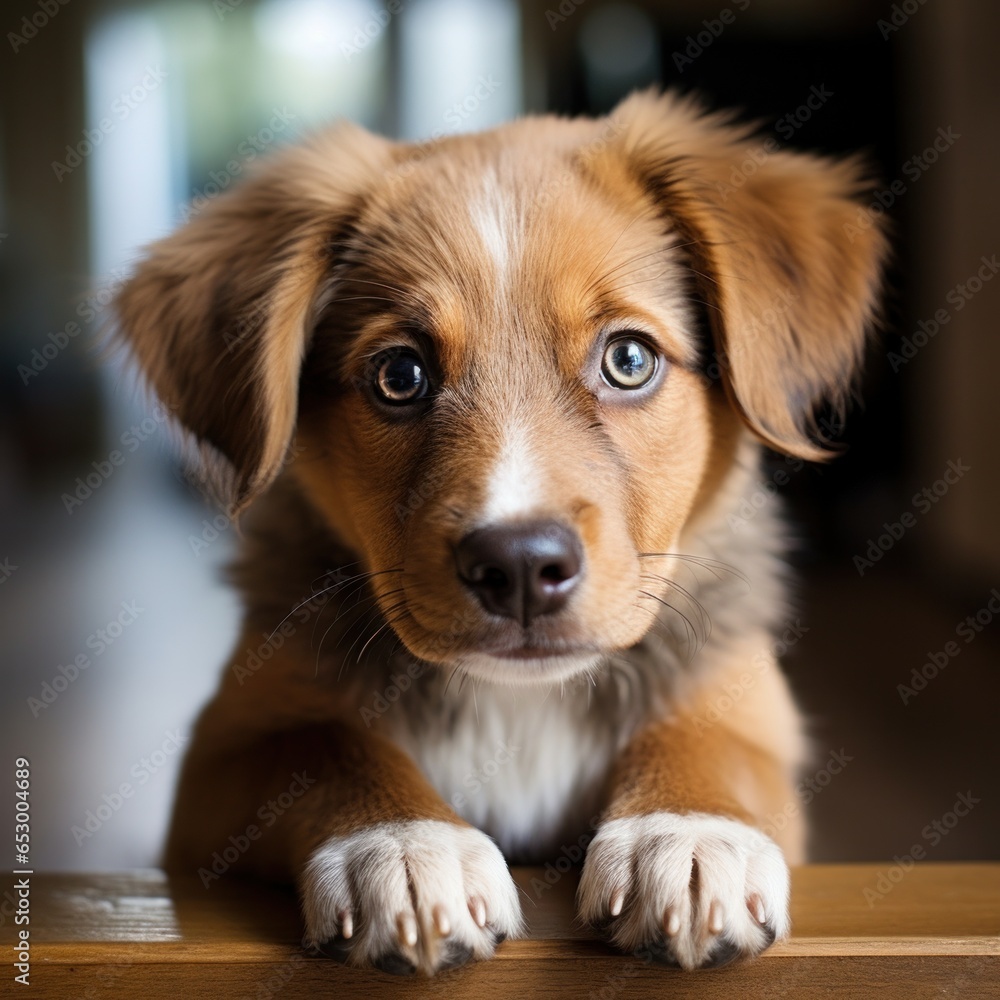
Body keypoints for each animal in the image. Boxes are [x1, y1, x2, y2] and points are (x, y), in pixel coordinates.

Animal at [113, 90, 888, 972]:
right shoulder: (220, 757)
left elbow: (706, 739)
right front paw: (406, 846)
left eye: (628, 359)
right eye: (400, 375)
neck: (522, 704)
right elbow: (325, 746)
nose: (519, 566)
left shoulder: (744, 697)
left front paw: (688, 834)